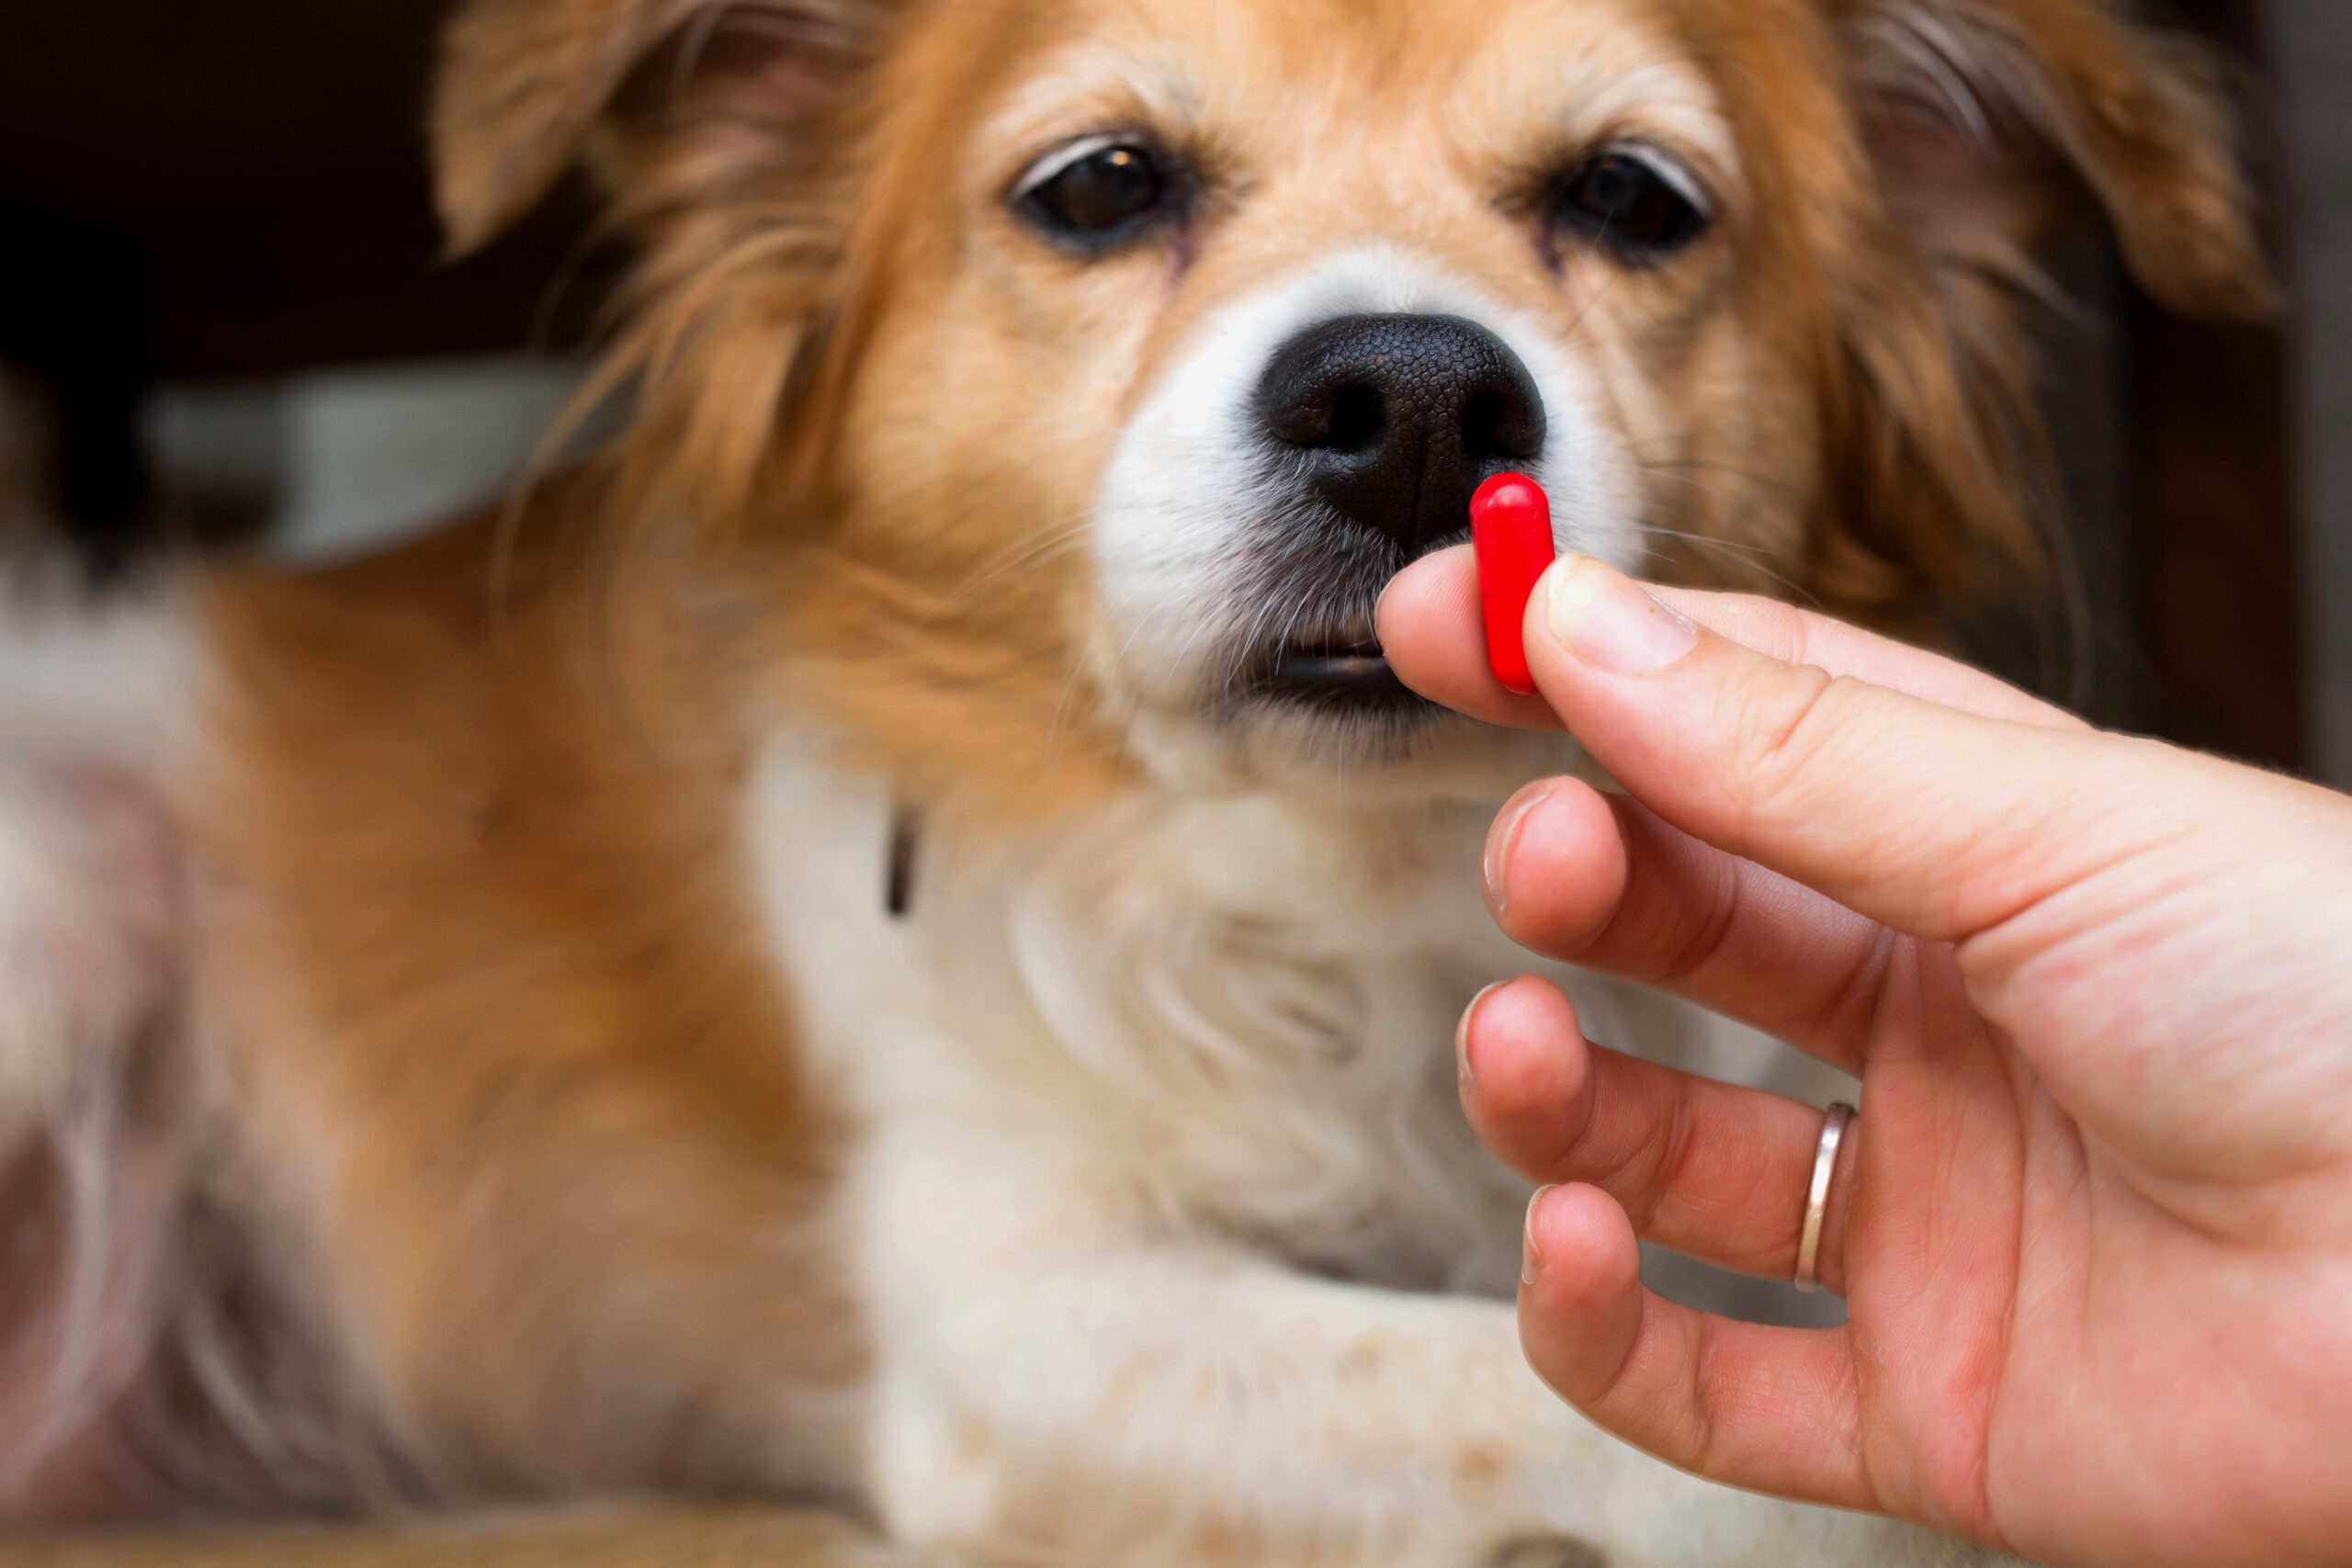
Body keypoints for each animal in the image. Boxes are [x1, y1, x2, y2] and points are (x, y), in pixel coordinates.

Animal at [5, 0, 2277, 1561]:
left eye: (1631, 200)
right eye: (1099, 186)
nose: (1410, 398)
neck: (1353, 890)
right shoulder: (1013, 1313)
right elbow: (1549, 1397)